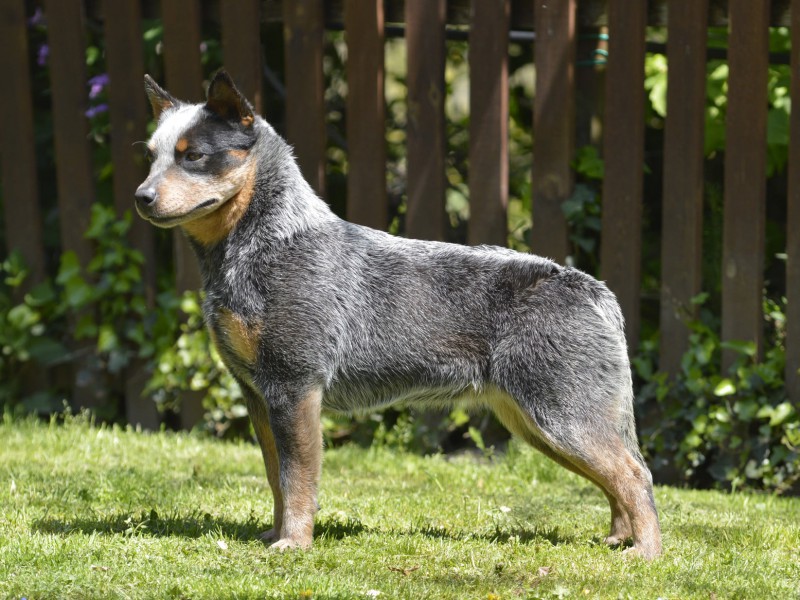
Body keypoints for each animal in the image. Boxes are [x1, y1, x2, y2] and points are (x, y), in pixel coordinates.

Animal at [135, 69, 662, 559]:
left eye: (193, 155)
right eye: (151, 155)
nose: (141, 197)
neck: (267, 244)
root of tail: (593, 288)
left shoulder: (295, 387)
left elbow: (297, 478)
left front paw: (295, 543)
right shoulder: (259, 395)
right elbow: (274, 475)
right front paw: (275, 533)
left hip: (563, 417)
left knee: (636, 473)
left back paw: (647, 553)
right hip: (539, 424)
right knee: (616, 477)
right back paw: (619, 538)